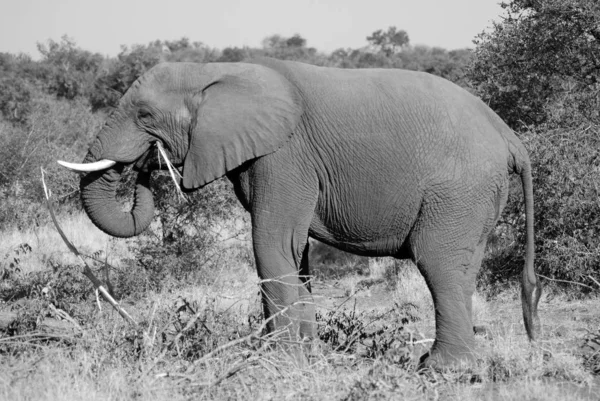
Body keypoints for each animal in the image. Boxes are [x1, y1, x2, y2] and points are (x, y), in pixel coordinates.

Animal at [59, 57, 544, 368]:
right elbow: (296, 253)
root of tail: (509, 135)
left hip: (458, 190)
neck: (214, 70)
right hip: (475, 197)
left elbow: (271, 243)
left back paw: (441, 370)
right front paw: (309, 357)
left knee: (438, 262)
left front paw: (275, 360)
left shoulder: (284, 156)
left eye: (144, 115)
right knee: (462, 268)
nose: (144, 164)